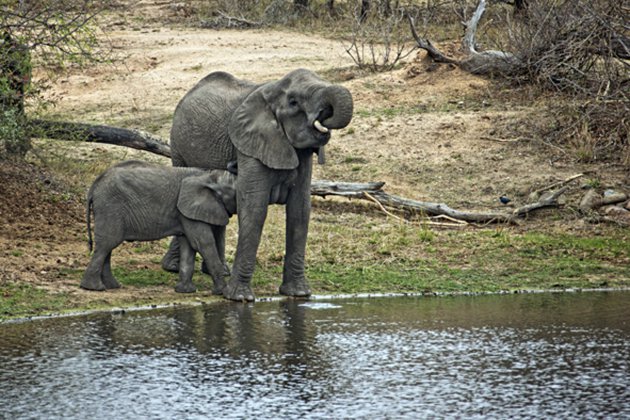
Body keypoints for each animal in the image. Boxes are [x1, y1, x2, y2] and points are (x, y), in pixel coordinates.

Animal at [79, 161, 237, 296]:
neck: (210, 175)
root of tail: (94, 185)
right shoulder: (189, 209)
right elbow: (203, 243)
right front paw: (222, 292)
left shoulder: (186, 212)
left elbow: (189, 245)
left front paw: (185, 291)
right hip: (110, 207)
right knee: (107, 244)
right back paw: (95, 288)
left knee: (107, 246)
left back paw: (111, 286)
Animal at [162, 69, 356, 302]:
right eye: (293, 102)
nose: (324, 114)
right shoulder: (249, 145)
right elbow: (255, 209)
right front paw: (239, 298)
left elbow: (300, 212)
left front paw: (298, 294)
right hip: (178, 147)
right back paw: (173, 268)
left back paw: (219, 270)